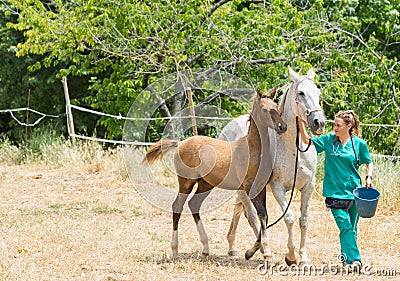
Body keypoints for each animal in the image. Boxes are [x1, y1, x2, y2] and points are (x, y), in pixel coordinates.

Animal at [219, 66, 324, 264]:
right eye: (301, 93)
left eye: (318, 93)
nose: (319, 122)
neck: (293, 149)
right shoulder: (277, 188)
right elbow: (289, 218)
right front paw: (291, 256)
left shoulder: (309, 186)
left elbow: (304, 220)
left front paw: (304, 257)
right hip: (244, 188)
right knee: (251, 216)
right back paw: (258, 250)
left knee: (240, 210)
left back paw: (233, 247)